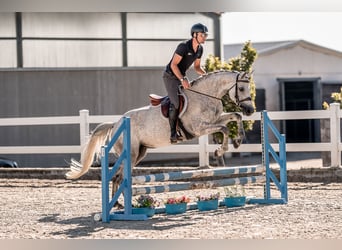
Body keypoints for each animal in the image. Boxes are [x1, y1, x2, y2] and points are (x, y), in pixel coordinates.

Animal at [66, 70, 254, 203]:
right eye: (241, 88)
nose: (251, 110)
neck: (205, 96)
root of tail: (116, 123)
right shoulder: (199, 128)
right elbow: (224, 128)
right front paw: (220, 151)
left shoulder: (215, 120)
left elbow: (235, 116)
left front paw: (238, 141)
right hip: (131, 154)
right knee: (120, 177)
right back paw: (123, 205)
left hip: (139, 154)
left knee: (119, 177)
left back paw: (119, 205)